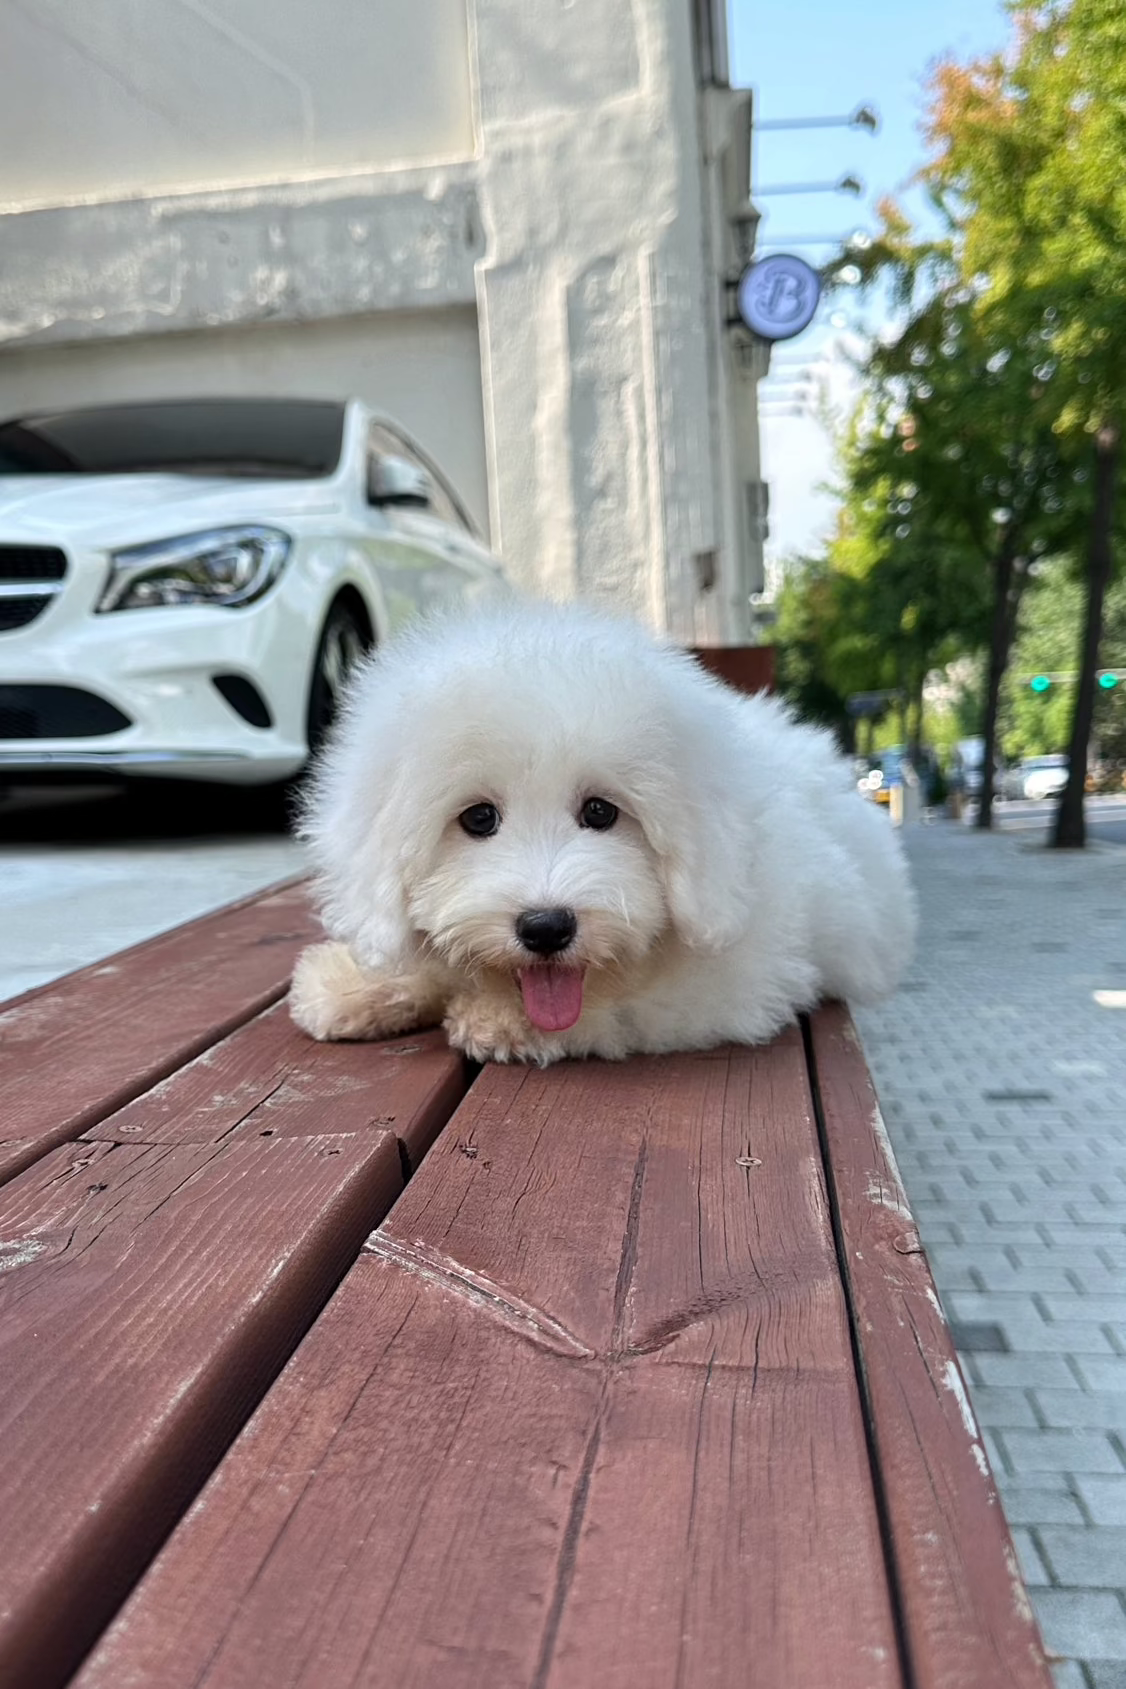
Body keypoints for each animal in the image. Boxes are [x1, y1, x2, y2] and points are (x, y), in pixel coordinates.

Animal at [290, 601, 918, 1060]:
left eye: (600, 812)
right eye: (478, 818)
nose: (546, 928)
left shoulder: (732, 984)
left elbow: (609, 1008)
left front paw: (492, 1017)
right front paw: (344, 983)